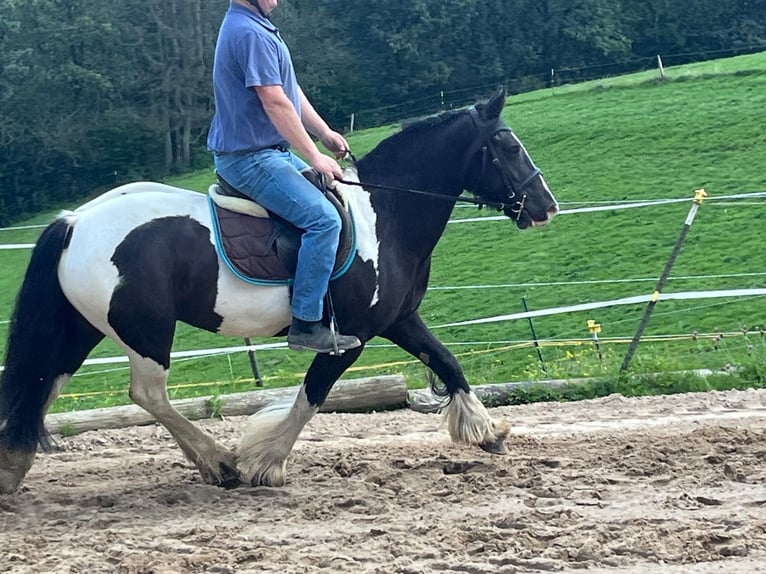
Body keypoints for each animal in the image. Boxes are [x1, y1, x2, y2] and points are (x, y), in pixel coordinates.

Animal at [0, 86, 560, 496]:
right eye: (509, 148)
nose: (545, 206)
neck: (384, 215)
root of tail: (75, 221)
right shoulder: (349, 337)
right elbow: (311, 396)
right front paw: (265, 464)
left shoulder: (399, 320)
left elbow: (447, 362)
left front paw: (487, 432)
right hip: (145, 330)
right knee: (147, 394)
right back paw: (219, 463)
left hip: (84, 327)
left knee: (45, 382)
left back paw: (14, 465)